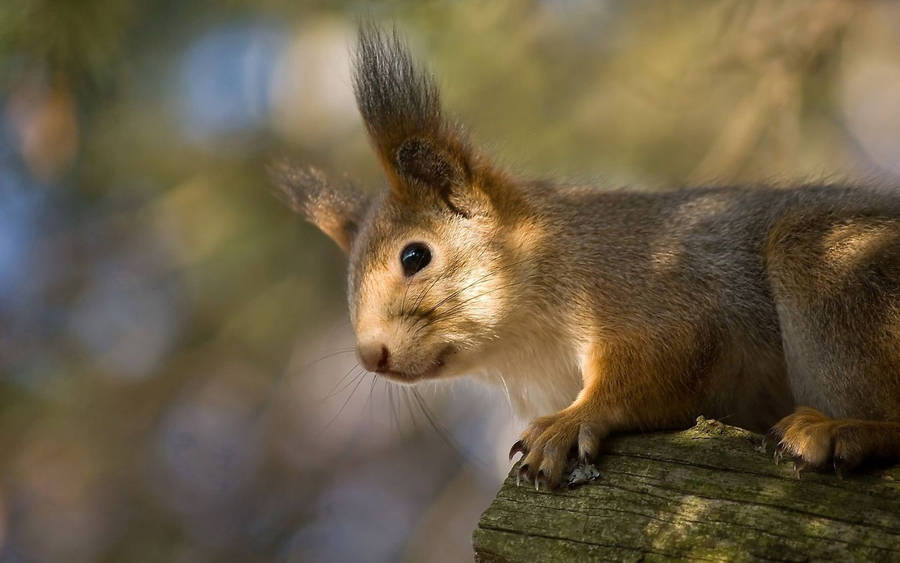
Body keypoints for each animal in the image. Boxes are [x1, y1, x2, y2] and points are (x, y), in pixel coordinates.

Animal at [271, 25, 900, 489]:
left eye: (414, 257)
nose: (371, 355)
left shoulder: (648, 285)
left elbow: (663, 359)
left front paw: (571, 423)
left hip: (832, 267)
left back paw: (842, 431)